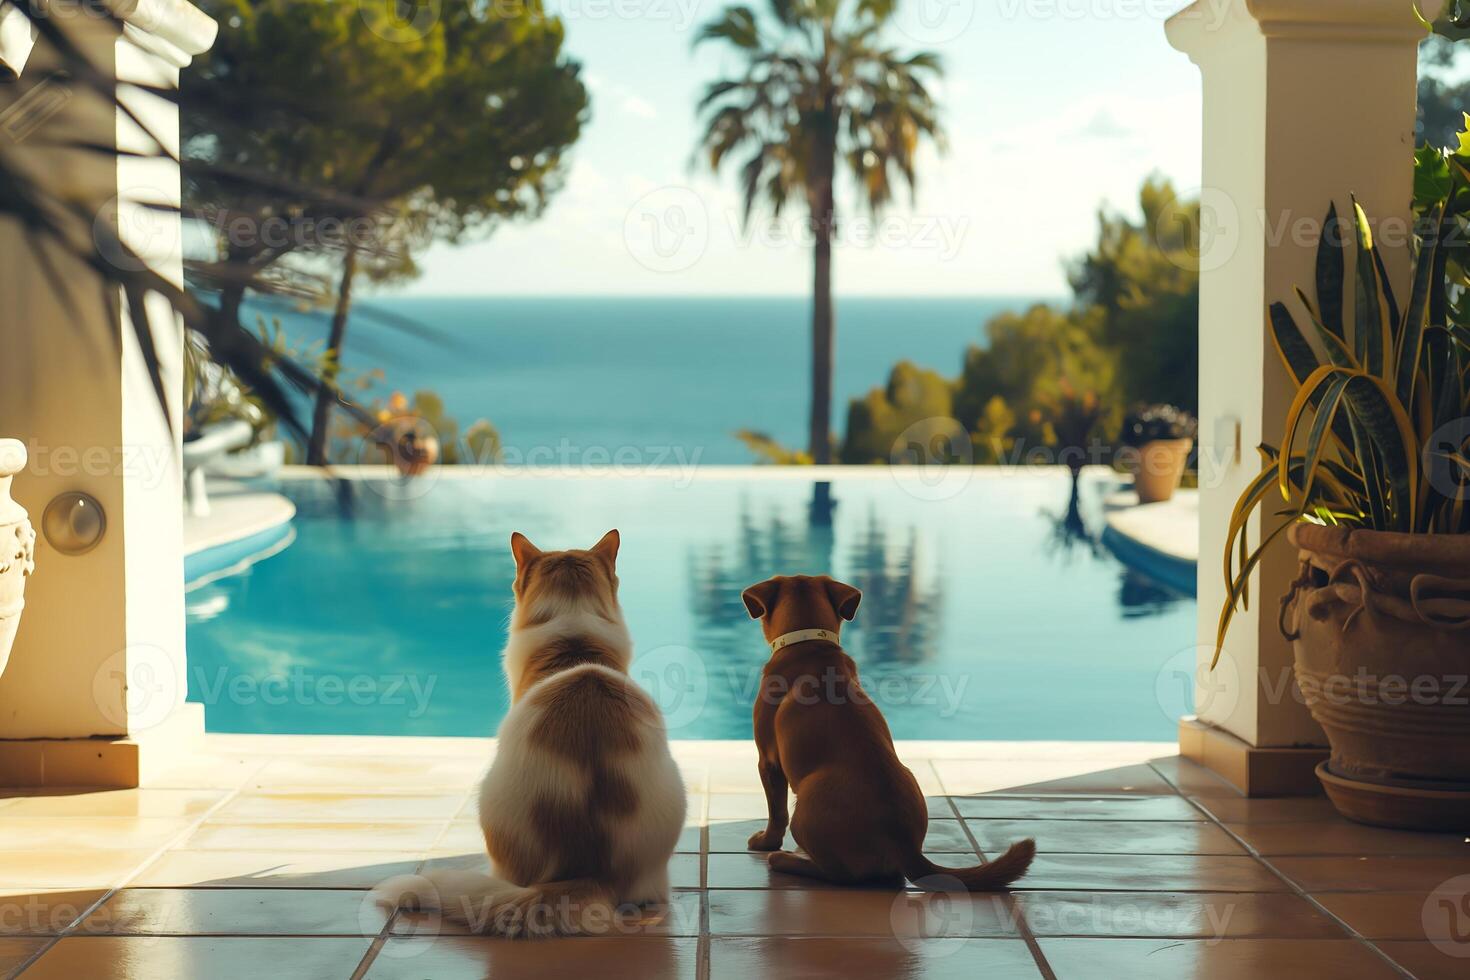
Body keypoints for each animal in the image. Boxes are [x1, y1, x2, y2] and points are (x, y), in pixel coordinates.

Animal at [746, 575, 1034, 887]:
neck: (809, 644)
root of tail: (904, 845)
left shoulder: (769, 761)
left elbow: (776, 812)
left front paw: (765, 842)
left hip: (805, 807)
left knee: (838, 874)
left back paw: (787, 860)